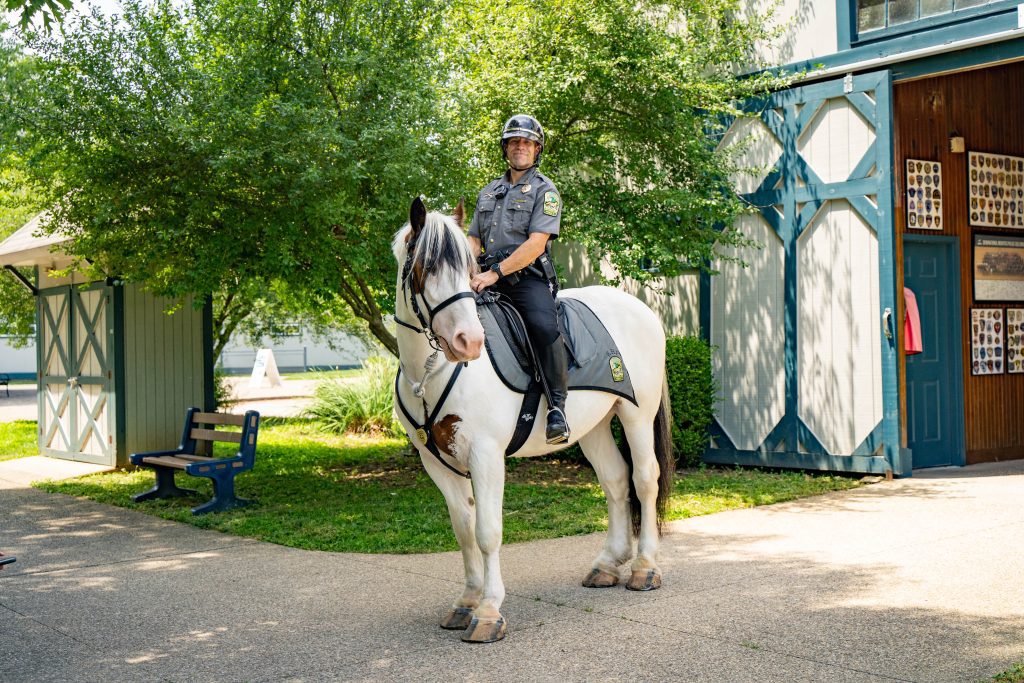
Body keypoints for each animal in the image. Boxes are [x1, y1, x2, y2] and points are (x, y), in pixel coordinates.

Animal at [389, 196, 671, 643]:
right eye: (425, 268)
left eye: (466, 268)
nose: (469, 342)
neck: (430, 372)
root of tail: (640, 309)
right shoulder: (435, 461)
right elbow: (463, 529)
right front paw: (465, 602)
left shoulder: (486, 455)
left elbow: (487, 532)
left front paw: (488, 611)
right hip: (593, 426)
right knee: (615, 479)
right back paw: (608, 564)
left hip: (636, 414)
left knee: (644, 480)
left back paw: (645, 568)